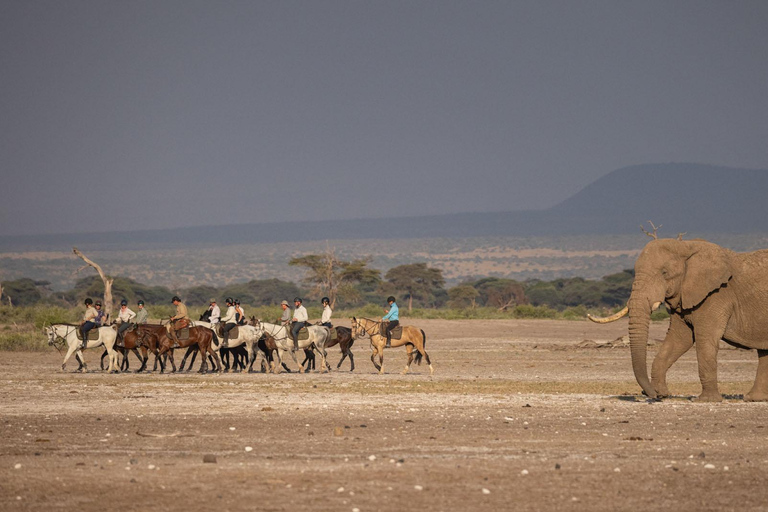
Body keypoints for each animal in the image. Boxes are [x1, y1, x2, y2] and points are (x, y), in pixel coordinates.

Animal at [592, 238, 768, 402]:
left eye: (664, 273)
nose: (649, 394)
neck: (686, 245)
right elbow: (679, 339)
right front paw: (662, 393)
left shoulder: (717, 295)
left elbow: (705, 340)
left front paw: (705, 400)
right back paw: (754, 398)